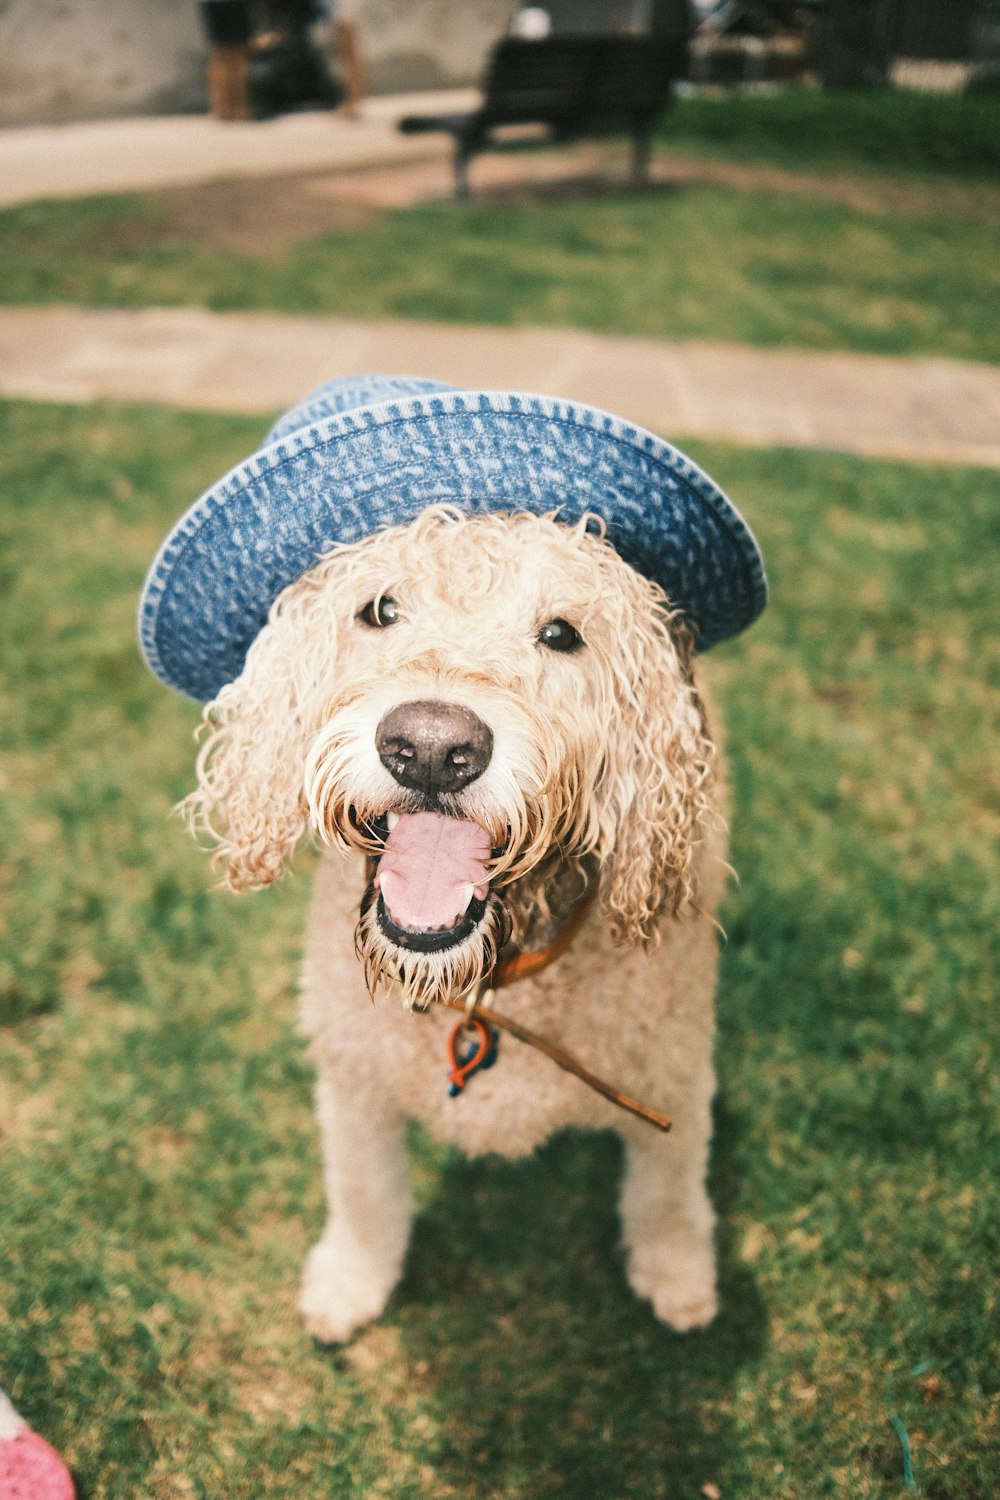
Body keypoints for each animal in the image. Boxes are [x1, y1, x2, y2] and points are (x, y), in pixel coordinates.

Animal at [183, 501, 728, 1338]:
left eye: (561, 632)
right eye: (379, 610)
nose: (433, 748)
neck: (486, 984)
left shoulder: (672, 1074)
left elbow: (667, 1190)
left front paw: (678, 1274)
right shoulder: (356, 1084)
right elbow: (364, 1191)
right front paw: (350, 1279)